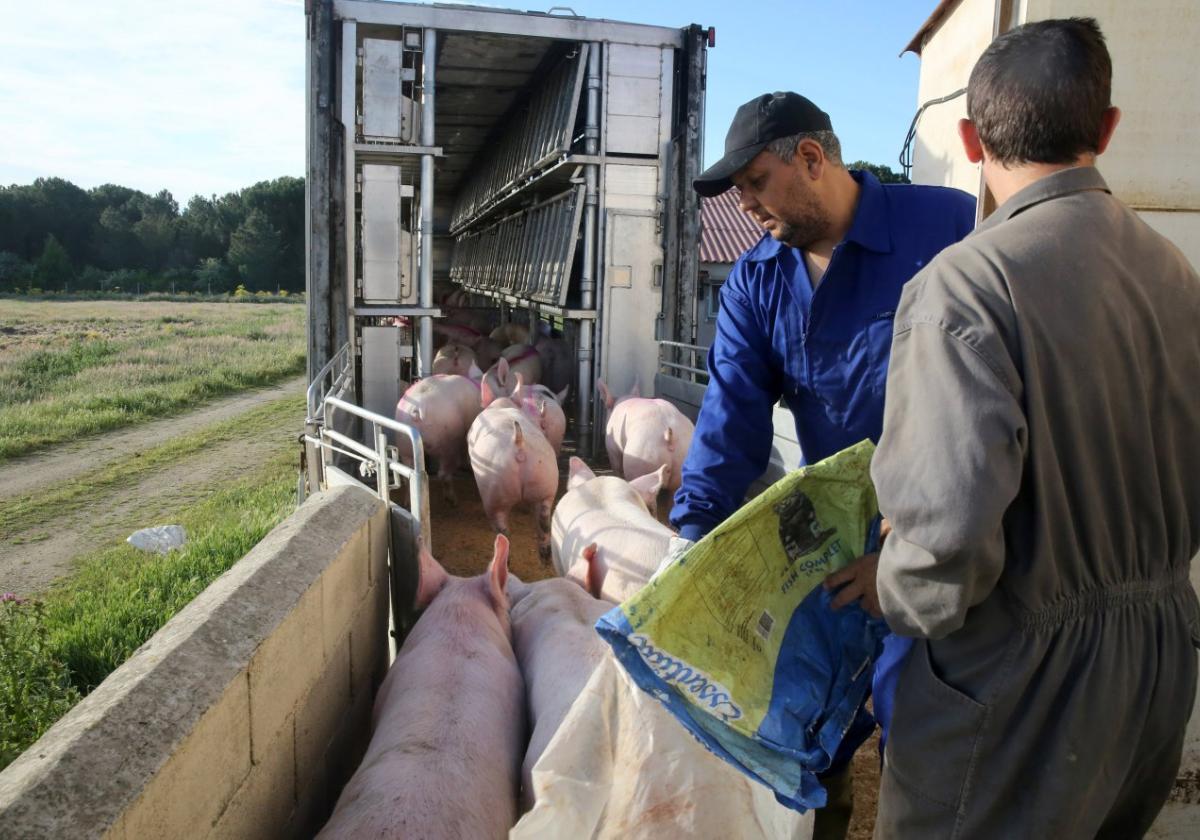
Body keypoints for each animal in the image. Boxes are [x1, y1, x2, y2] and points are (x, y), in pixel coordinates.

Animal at [398, 369, 482, 501]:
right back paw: (452, 499)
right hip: (448, 442)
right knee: (444, 473)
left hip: (404, 444)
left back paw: (407, 501)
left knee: (406, 475)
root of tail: (417, 410)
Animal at [468, 376, 561, 561]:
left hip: (494, 488)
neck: (501, 405)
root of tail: (518, 443)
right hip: (545, 478)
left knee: (501, 528)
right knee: (544, 519)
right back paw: (545, 557)